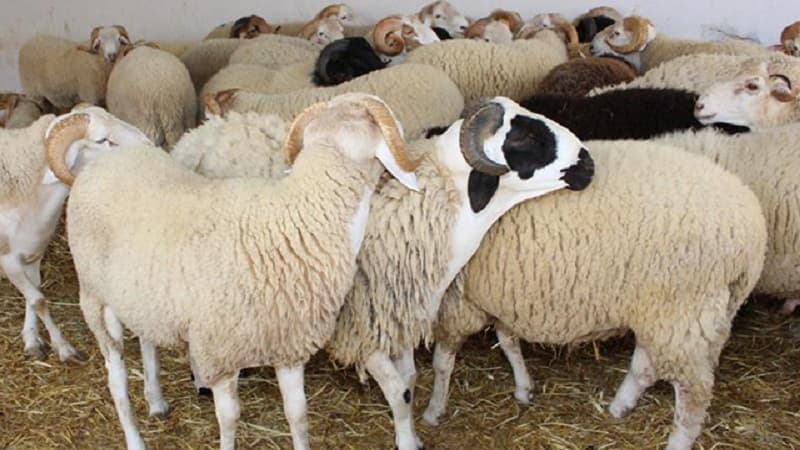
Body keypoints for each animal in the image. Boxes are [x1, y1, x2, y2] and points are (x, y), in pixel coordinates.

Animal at [0, 107, 151, 362]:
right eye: (102, 140)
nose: (150, 145)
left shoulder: (33, 253)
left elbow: (34, 296)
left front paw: (31, 339)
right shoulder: (8, 259)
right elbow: (38, 300)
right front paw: (63, 347)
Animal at [46, 93, 421, 450]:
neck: (300, 219)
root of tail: (99, 166)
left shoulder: (289, 346)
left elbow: (298, 415)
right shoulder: (221, 352)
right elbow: (229, 419)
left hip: (140, 297)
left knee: (147, 342)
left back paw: (156, 400)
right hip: (95, 298)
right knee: (116, 378)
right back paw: (134, 438)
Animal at [423, 139, 767, 450]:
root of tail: (753, 231)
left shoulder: (457, 304)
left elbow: (442, 363)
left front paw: (433, 410)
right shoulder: (500, 299)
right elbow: (508, 342)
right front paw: (523, 388)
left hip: (682, 310)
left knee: (694, 391)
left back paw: (676, 442)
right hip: (673, 311)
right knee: (647, 365)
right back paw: (619, 406)